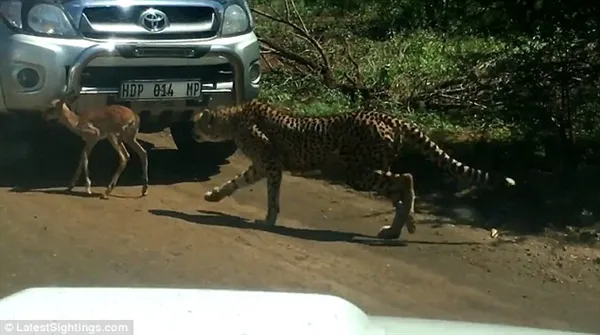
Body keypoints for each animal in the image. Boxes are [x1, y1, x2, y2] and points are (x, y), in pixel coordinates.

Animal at [192, 101, 516, 240]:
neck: (233, 119)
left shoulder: (271, 165)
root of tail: (386, 115)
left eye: (197, 123)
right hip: (370, 169)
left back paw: (405, 225)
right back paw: (397, 229)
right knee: (399, 189)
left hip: (359, 173)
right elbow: (236, 181)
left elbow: (272, 195)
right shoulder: (261, 166)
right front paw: (213, 196)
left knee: (407, 179)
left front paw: (269, 220)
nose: (192, 132)